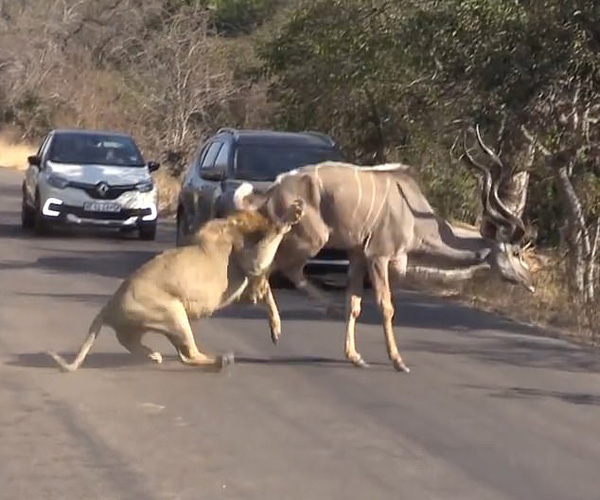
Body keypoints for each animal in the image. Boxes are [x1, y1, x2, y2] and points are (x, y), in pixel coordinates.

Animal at [47, 199, 304, 372]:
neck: (232, 221)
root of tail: (109, 305)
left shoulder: (245, 287)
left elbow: (269, 298)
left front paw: (276, 330)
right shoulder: (252, 262)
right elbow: (270, 244)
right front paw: (292, 215)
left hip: (149, 323)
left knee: (136, 342)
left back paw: (153, 356)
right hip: (173, 312)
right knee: (188, 355)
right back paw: (220, 361)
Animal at [230, 127, 536, 374]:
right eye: (517, 252)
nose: (530, 283)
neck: (415, 217)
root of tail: (274, 189)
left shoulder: (357, 255)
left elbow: (354, 304)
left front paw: (354, 356)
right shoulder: (379, 255)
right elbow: (386, 306)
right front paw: (398, 361)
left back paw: (324, 309)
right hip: (310, 239)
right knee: (275, 267)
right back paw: (279, 328)